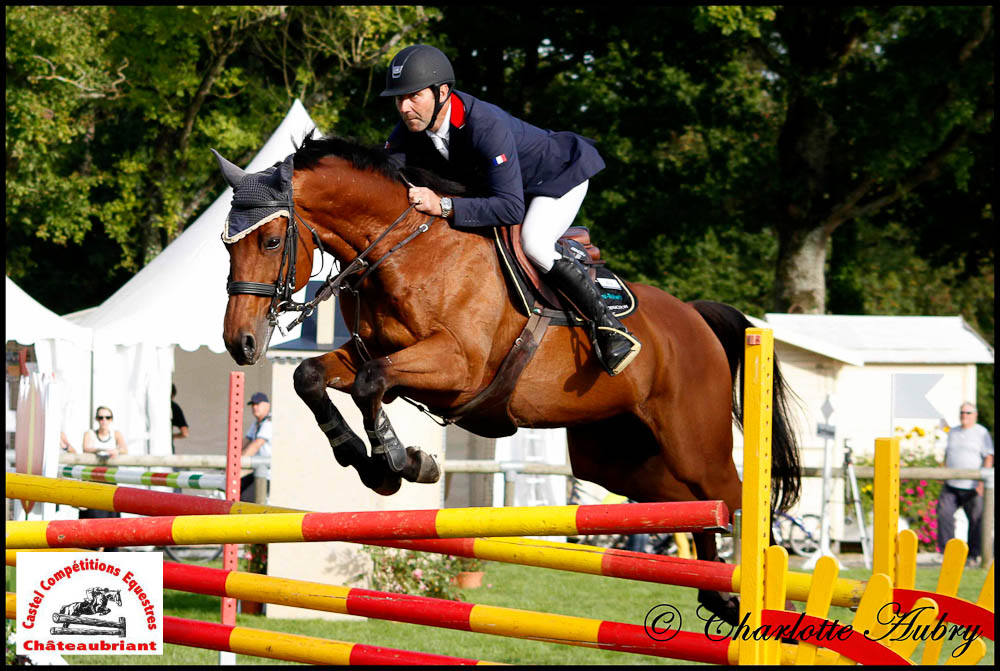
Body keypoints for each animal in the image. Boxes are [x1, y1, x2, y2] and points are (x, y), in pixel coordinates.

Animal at [215, 133, 800, 624]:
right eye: (226, 244)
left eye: (270, 242)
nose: (239, 343)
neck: (408, 250)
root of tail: (695, 316)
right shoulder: (373, 353)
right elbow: (312, 377)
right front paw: (368, 462)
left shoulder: (457, 368)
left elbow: (370, 385)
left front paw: (403, 462)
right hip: (618, 458)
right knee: (694, 505)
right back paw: (719, 593)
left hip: (692, 440)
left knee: (733, 495)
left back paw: (765, 597)